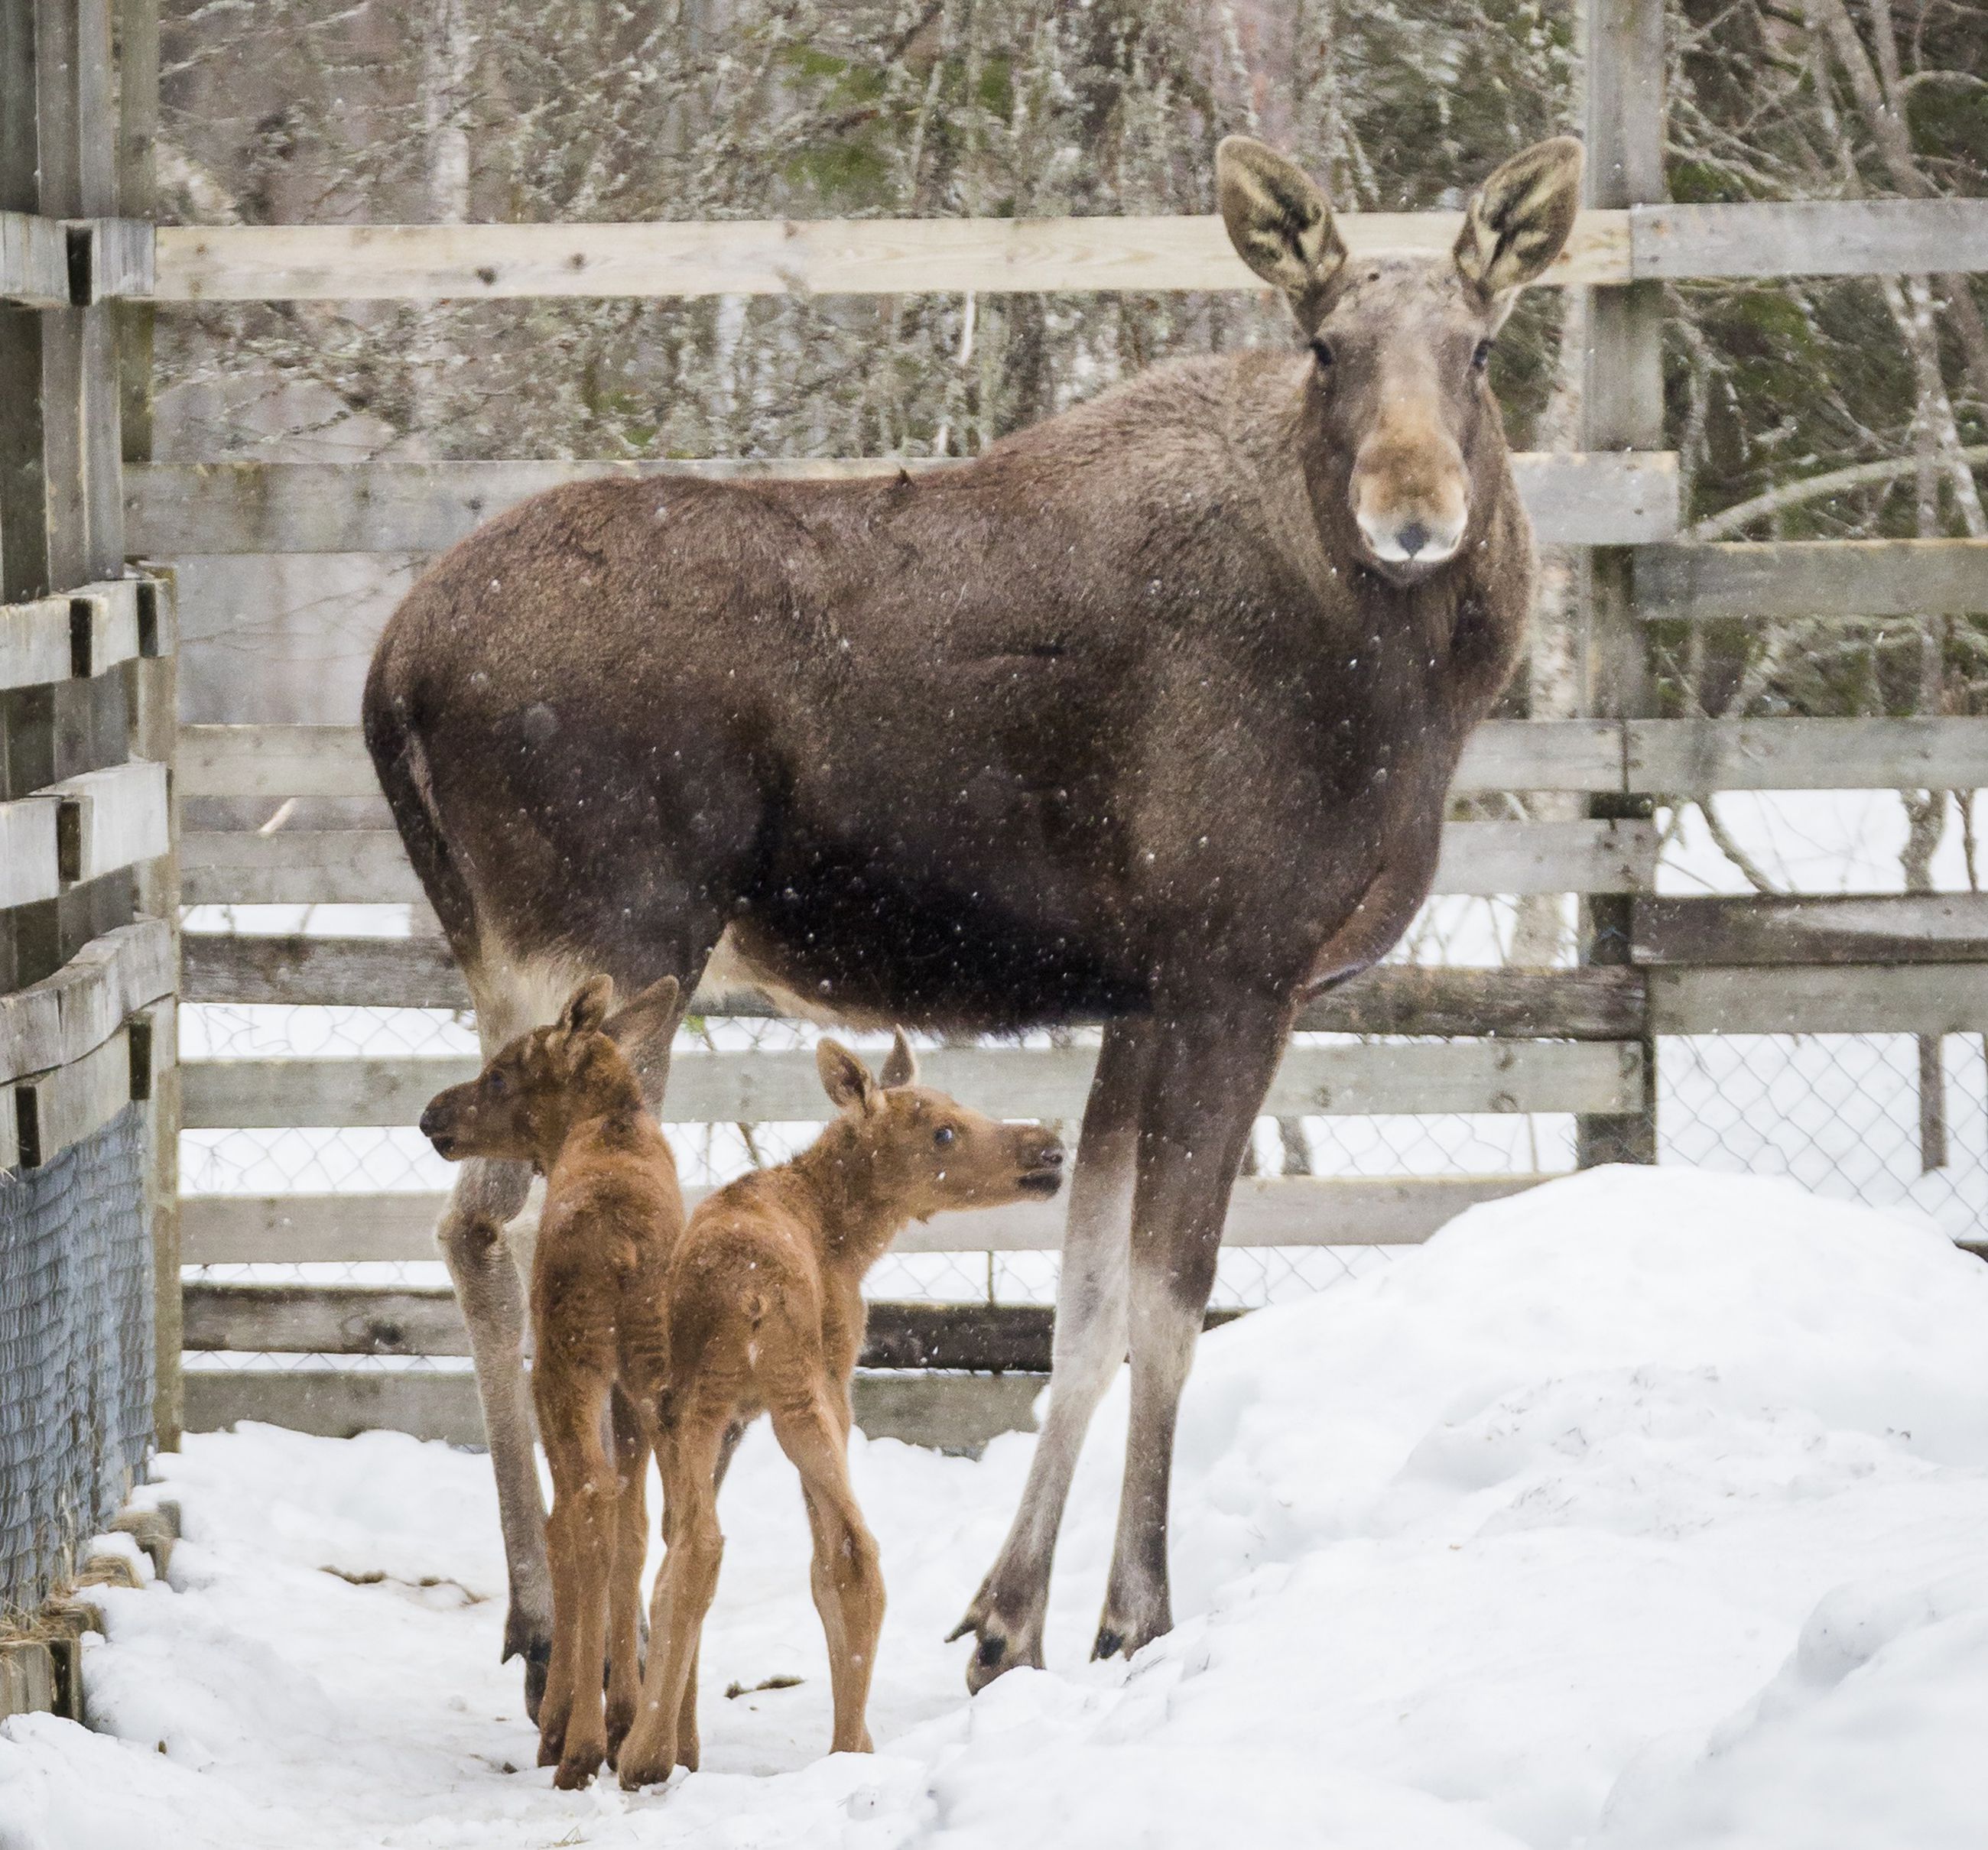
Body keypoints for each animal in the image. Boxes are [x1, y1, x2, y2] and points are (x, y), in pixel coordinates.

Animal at [421, 977, 691, 1788]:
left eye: (498, 1077)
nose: (431, 1115)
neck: (604, 1126)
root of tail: (628, 1251)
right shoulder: (634, 1400)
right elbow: (635, 1528)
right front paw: (623, 1709)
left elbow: (571, 1519)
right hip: (662, 1387)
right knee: (673, 1520)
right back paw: (649, 1740)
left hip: (566, 1368)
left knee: (583, 1507)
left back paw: (573, 1744)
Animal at [620, 1033, 1065, 1788]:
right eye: (943, 1132)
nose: (1050, 1150)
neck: (848, 1238)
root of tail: (752, 1295)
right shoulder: (838, 1375)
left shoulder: (721, 1416)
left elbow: (681, 1533)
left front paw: (686, 1746)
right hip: (802, 1393)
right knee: (846, 1550)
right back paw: (837, 1748)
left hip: (698, 1402)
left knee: (698, 1543)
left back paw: (657, 1754)